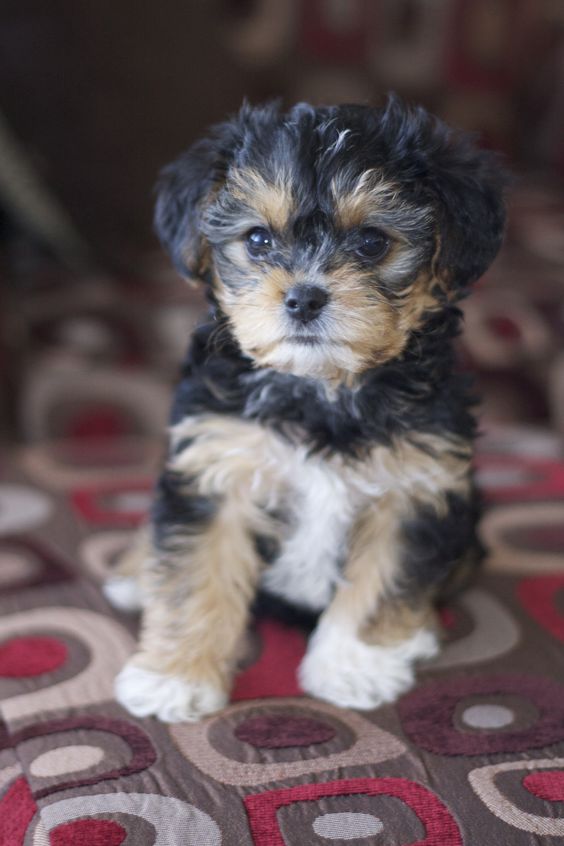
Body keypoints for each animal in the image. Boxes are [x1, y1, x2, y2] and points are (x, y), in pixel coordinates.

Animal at [106, 97, 506, 724]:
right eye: (258, 241)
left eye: (372, 242)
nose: (303, 298)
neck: (323, 387)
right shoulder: (215, 463)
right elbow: (197, 571)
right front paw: (175, 678)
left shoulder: (417, 483)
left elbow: (383, 576)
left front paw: (354, 665)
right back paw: (134, 570)